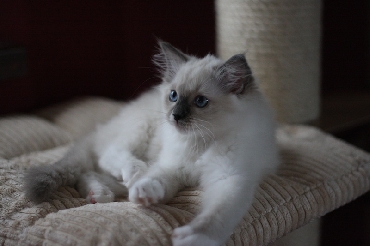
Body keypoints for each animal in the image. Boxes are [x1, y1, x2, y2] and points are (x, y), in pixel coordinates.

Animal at [23, 41, 278, 245]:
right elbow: (155, 179)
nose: (175, 116)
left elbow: (215, 215)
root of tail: (101, 128)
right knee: (106, 158)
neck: (198, 142)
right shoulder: (171, 168)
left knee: (90, 172)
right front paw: (144, 192)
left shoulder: (228, 178)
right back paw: (133, 173)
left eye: (201, 102)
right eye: (173, 96)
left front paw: (192, 238)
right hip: (140, 130)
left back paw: (99, 195)